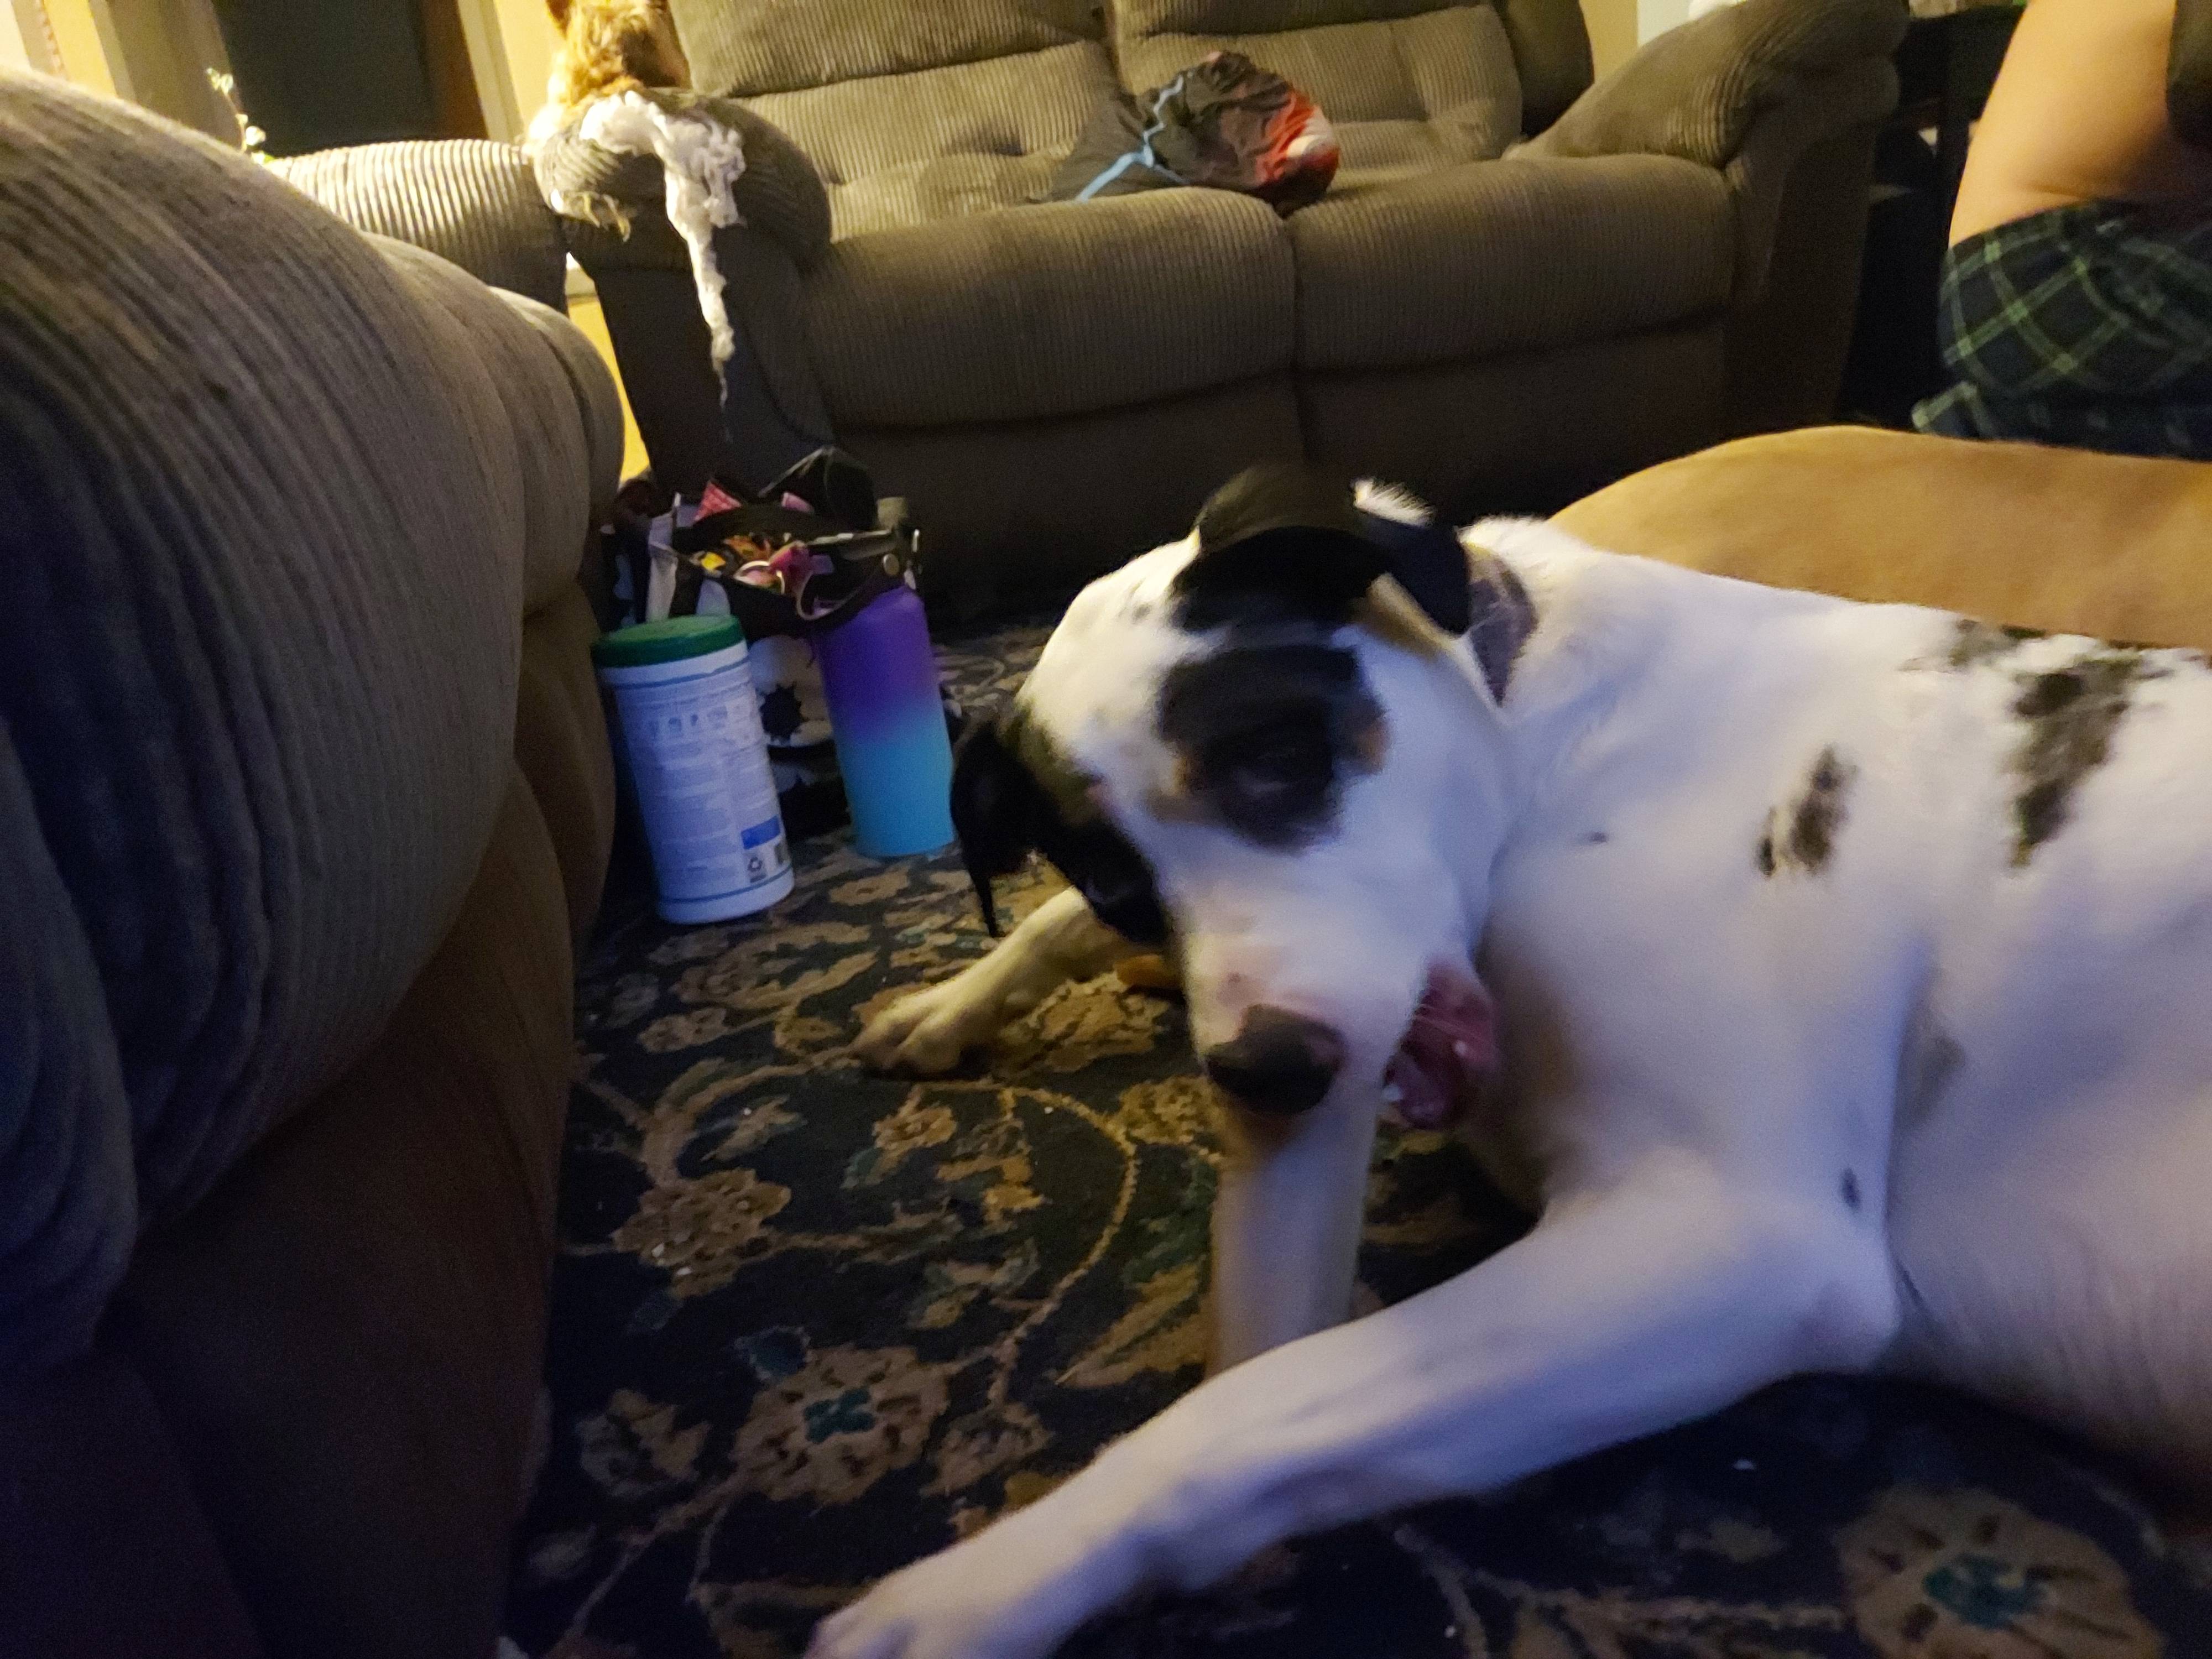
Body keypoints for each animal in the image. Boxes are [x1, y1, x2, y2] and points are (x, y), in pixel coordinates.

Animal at [825, 463, 2212, 1659]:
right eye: (1118, 878)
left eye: (1278, 758)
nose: (1264, 1072)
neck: (1543, 725)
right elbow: (1255, 1355)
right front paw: (954, 998)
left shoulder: (1736, 1235)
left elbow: (1238, 1412)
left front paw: (983, 1584)